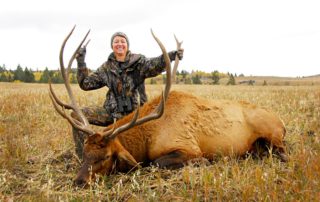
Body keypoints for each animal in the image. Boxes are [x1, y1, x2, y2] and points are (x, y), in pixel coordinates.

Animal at [49, 26, 288, 186]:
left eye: (106, 156)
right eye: (86, 152)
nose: (79, 181)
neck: (147, 138)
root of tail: (282, 123)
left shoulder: (188, 146)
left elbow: (156, 163)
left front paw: (204, 163)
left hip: (274, 137)